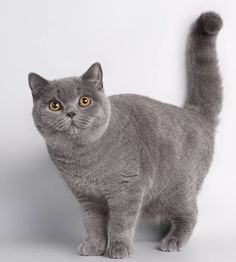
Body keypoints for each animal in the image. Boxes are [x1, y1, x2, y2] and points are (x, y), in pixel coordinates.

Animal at [28, 11, 223, 258]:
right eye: (54, 105)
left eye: (85, 101)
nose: (71, 112)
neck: (83, 158)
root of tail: (195, 114)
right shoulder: (86, 197)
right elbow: (93, 223)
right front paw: (94, 246)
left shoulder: (128, 189)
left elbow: (120, 222)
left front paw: (118, 248)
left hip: (178, 187)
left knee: (190, 213)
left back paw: (173, 239)